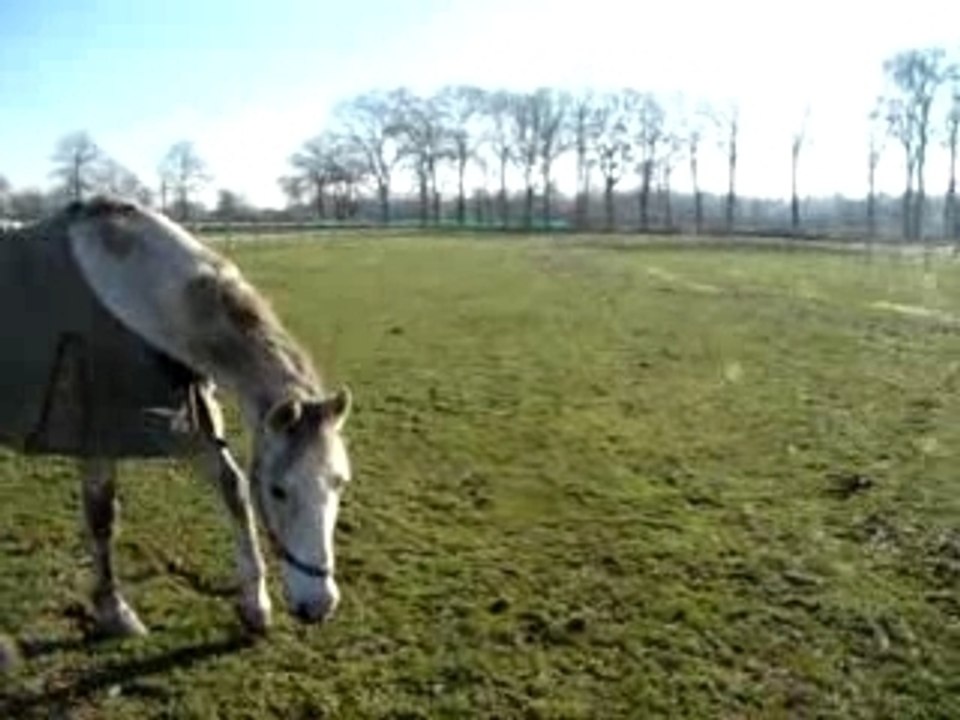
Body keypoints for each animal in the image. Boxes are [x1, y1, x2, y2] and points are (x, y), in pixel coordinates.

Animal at [0, 196, 352, 639]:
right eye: (278, 491)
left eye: (339, 483)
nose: (318, 605)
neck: (138, 291)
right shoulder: (99, 433)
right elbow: (101, 519)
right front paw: (114, 611)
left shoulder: (189, 428)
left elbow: (233, 488)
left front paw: (255, 605)